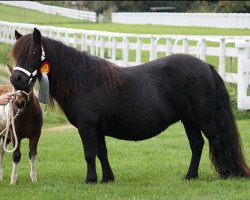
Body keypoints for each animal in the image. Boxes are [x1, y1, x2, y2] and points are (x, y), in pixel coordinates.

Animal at [8, 28, 249, 183]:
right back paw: (190, 176)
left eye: (34, 53)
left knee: (216, 140)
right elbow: (101, 152)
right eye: (15, 54)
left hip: (204, 119)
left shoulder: (87, 128)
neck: (83, 82)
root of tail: (206, 66)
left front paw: (90, 179)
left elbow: (89, 154)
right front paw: (107, 178)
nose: (16, 79)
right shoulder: (97, 129)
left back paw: (224, 174)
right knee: (197, 144)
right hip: (188, 120)